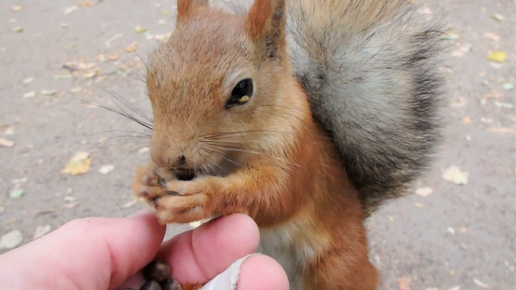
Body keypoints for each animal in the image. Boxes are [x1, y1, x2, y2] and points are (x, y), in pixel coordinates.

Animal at [129, 0, 444, 288]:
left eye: (242, 90)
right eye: (151, 72)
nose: (165, 156)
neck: (233, 150)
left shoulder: (296, 149)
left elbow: (276, 195)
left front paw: (201, 196)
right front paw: (146, 177)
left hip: (337, 267)